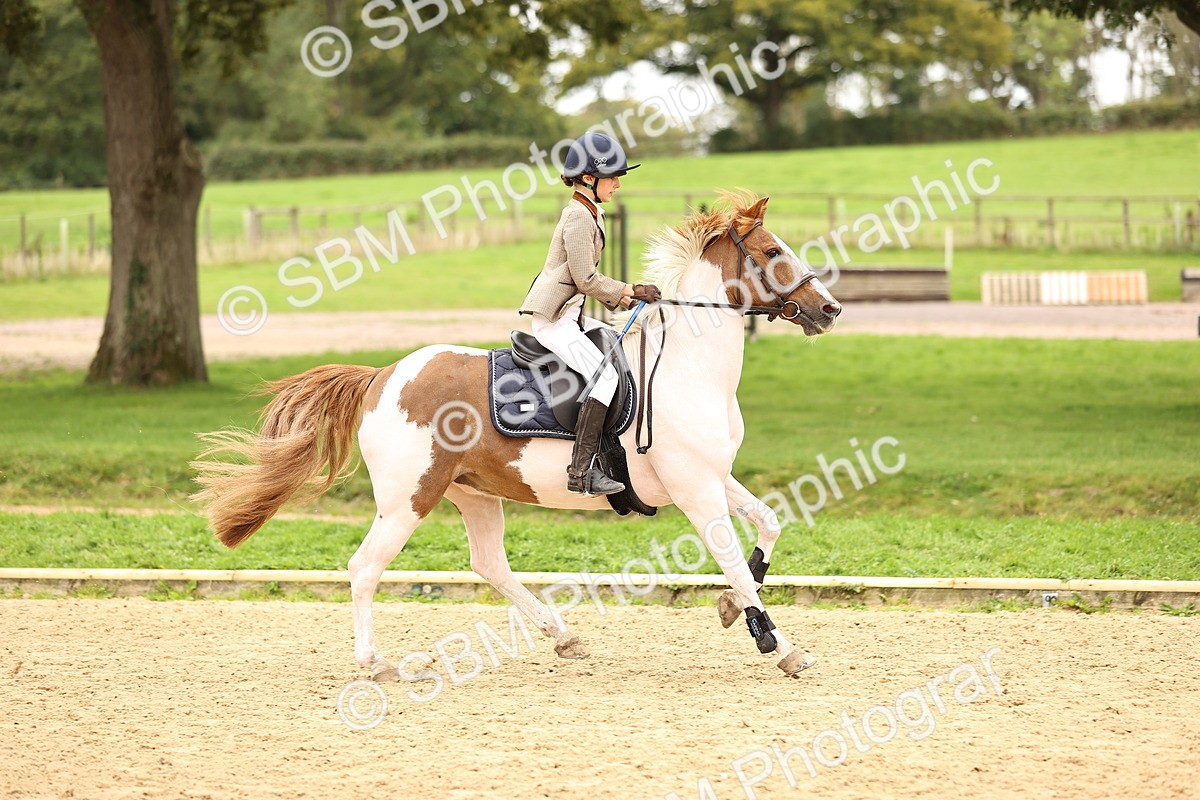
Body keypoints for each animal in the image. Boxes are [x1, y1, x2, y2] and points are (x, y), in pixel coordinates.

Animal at [192, 192, 842, 681]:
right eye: (772, 251)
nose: (830, 309)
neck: (688, 364)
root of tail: (383, 375)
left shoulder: (711, 477)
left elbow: (767, 525)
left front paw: (735, 608)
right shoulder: (695, 488)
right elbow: (731, 559)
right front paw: (778, 644)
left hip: (472, 492)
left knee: (488, 563)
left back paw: (563, 635)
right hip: (408, 499)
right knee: (365, 567)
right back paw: (374, 663)